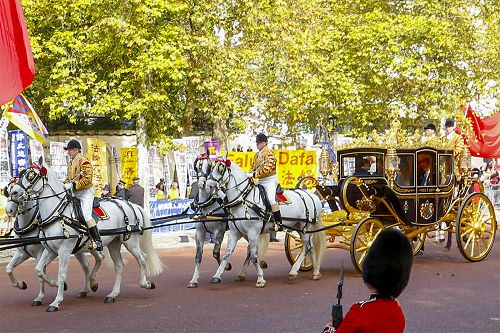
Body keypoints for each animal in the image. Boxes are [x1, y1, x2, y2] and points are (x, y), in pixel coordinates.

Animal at [8, 164, 164, 312]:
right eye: (7, 190)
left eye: (31, 175)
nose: (14, 192)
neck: (56, 214)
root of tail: (131, 204)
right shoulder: (49, 250)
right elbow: (38, 270)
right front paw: (54, 286)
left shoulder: (63, 251)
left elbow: (61, 274)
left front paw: (56, 301)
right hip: (112, 244)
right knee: (118, 265)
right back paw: (111, 294)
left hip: (130, 242)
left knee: (142, 258)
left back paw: (145, 283)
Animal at [205, 158, 326, 286]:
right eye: (211, 168)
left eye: (221, 169)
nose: (208, 186)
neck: (243, 199)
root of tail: (311, 195)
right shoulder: (235, 233)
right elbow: (227, 255)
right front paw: (217, 276)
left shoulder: (253, 233)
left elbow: (254, 256)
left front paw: (260, 278)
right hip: (301, 228)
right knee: (311, 247)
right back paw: (316, 272)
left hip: (305, 226)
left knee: (306, 247)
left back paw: (294, 272)